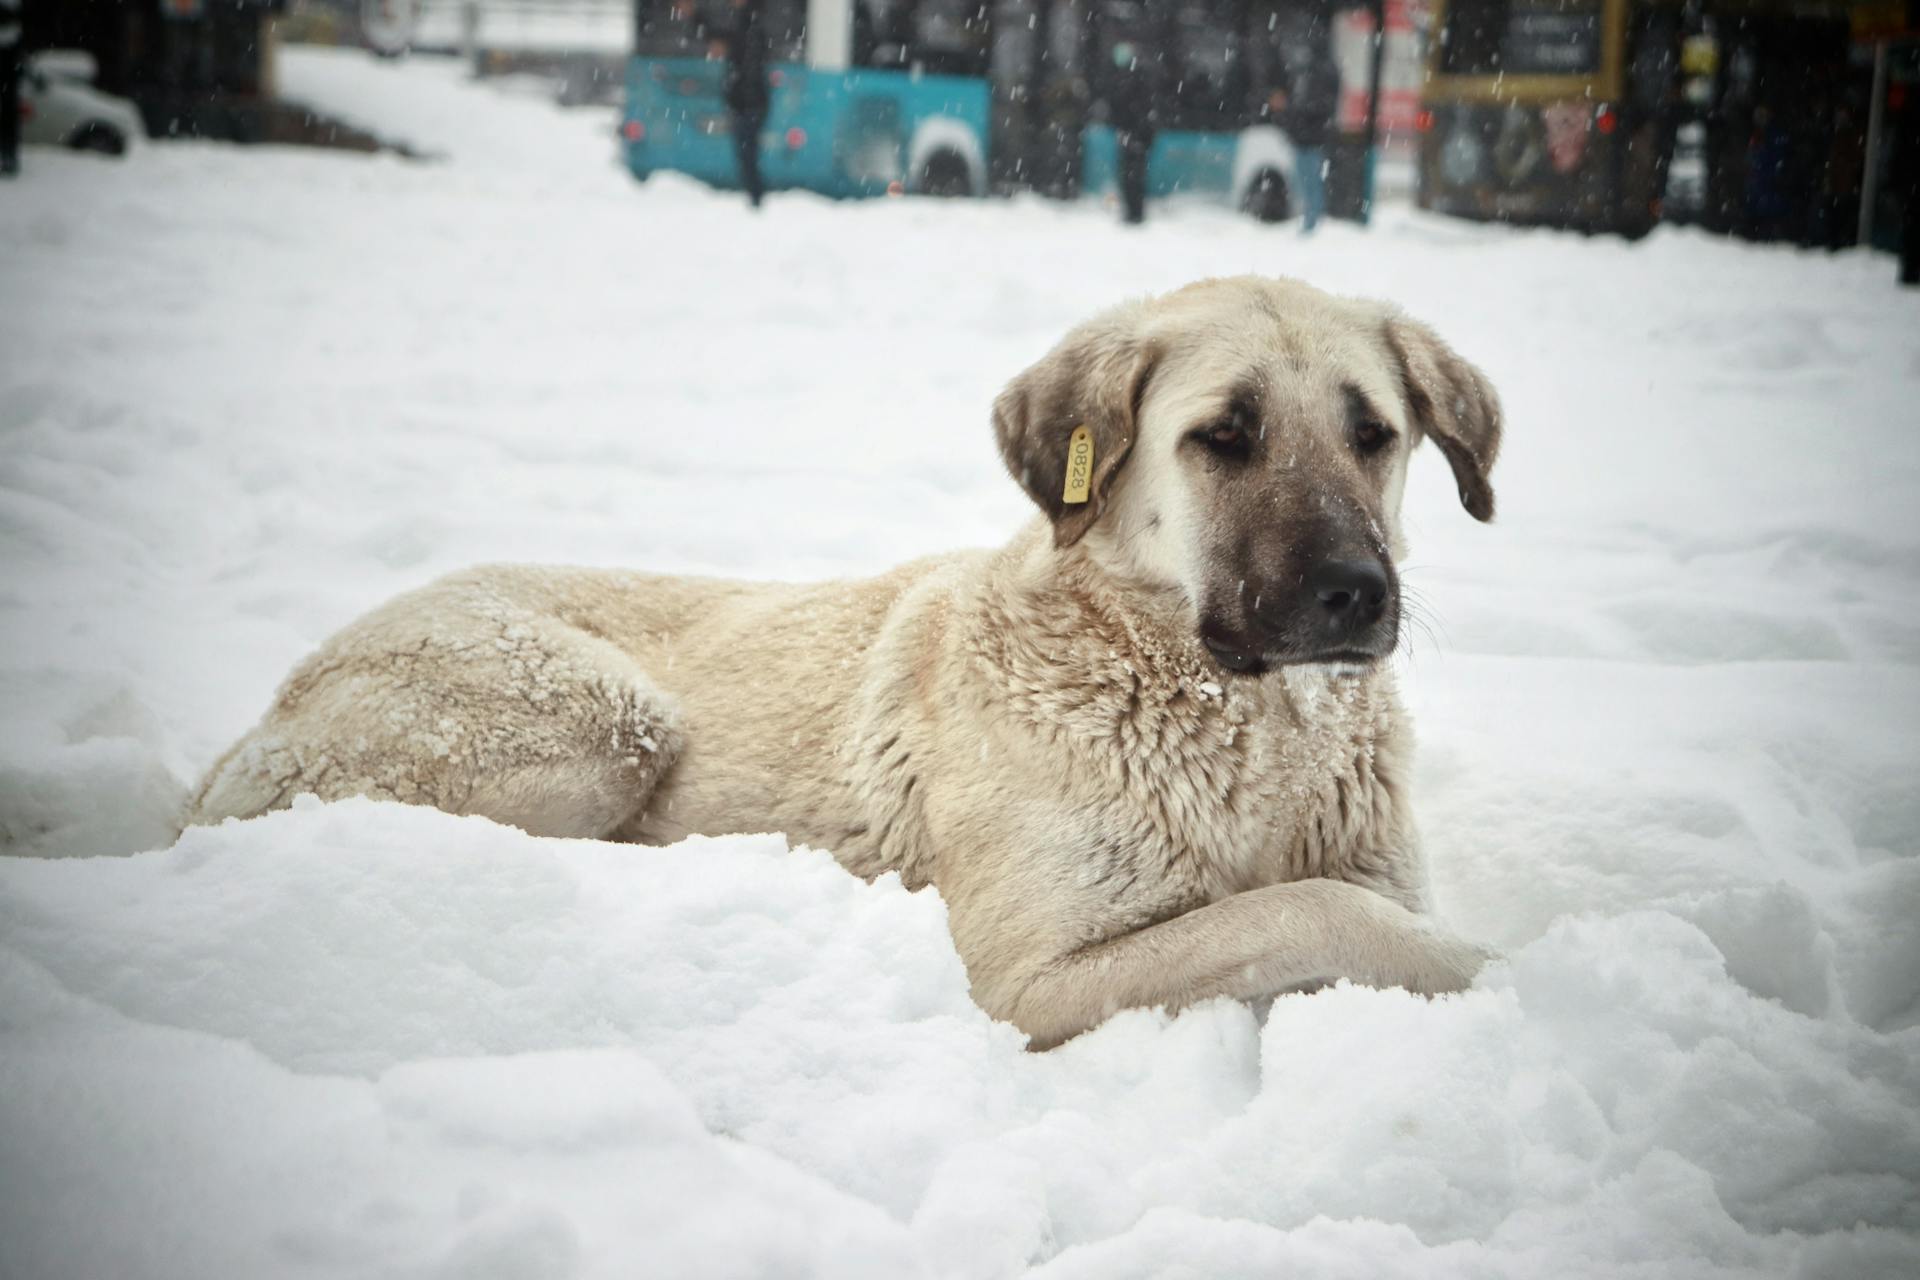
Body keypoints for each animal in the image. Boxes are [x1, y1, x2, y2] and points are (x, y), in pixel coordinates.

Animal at [183, 276, 1497, 1043]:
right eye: (1224, 435)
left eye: (1374, 434)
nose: (1354, 592)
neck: (1244, 717)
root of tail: (258, 717)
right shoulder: (1032, 975)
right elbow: (1315, 910)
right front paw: (1492, 969)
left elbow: (1326, 899)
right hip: (598, 720)